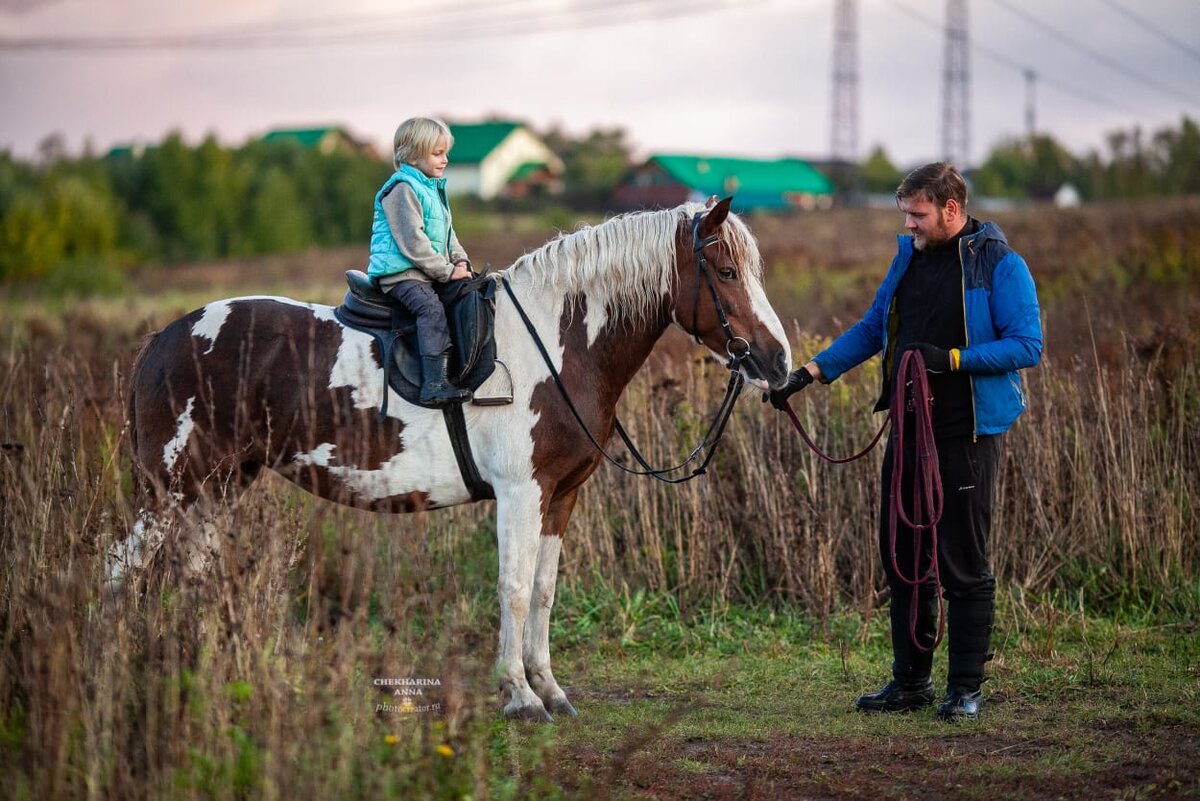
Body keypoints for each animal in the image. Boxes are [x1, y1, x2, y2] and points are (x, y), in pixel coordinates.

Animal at [117, 199, 792, 719]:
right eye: (726, 270)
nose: (779, 362)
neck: (556, 346)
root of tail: (164, 339)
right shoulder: (521, 493)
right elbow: (514, 588)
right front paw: (519, 696)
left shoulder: (561, 495)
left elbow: (544, 590)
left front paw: (550, 688)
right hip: (171, 489)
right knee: (121, 568)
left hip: (217, 488)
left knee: (196, 577)